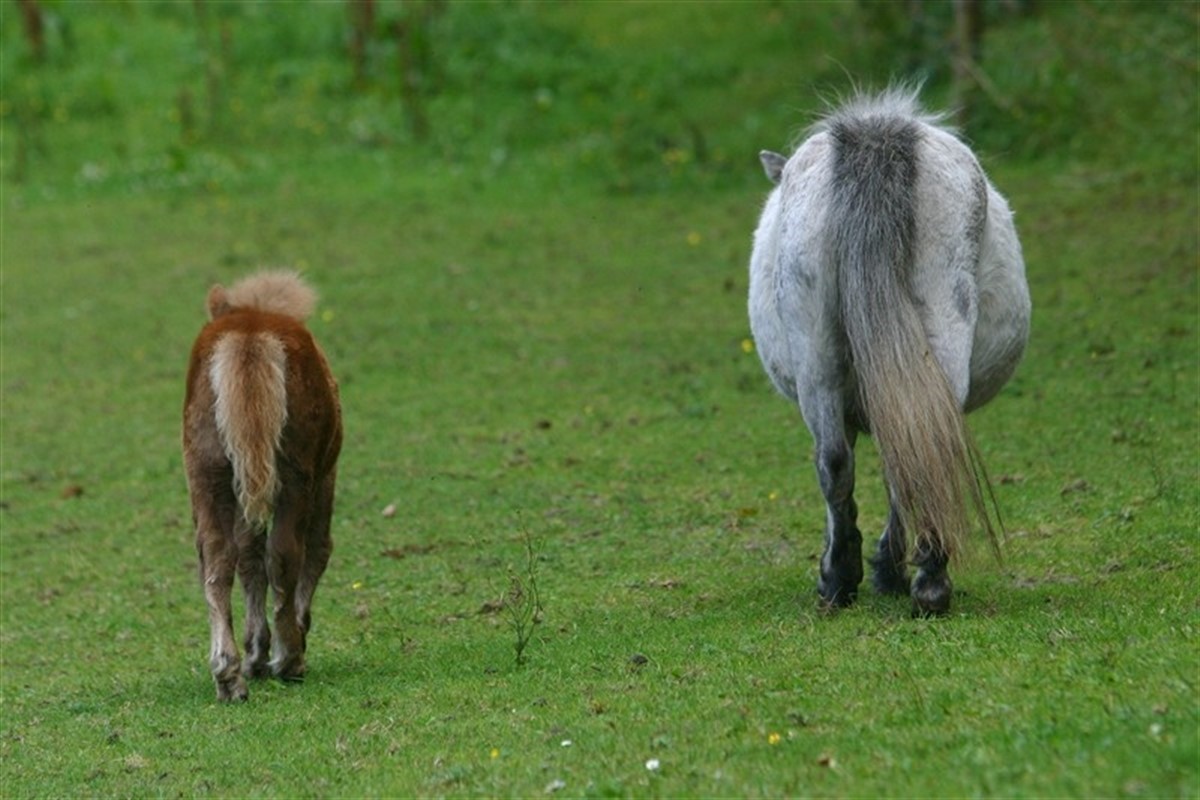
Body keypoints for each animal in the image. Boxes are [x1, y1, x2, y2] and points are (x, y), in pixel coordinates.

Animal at [183, 270, 342, 701]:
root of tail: (249, 336)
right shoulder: (325, 475)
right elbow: (316, 549)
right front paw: (285, 644)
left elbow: (247, 555)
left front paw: (255, 653)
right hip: (295, 474)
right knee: (286, 552)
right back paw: (290, 659)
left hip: (208, 472)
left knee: (217, 559)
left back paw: (228, 675)